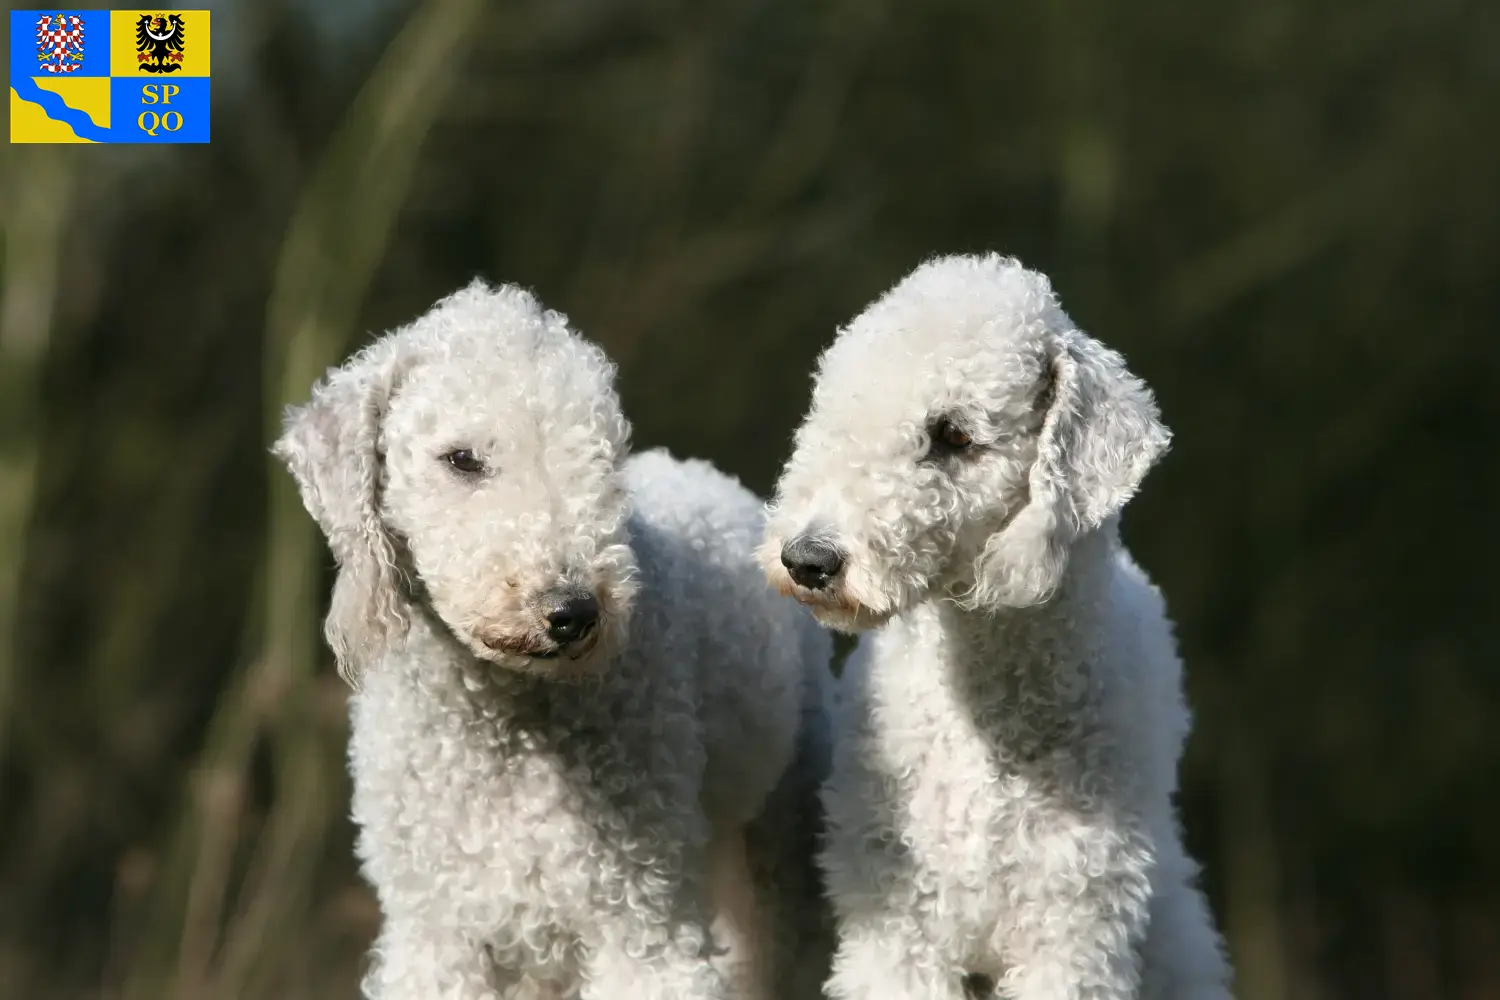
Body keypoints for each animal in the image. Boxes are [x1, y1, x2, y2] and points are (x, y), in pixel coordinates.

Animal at [271, 280, 834, 1000]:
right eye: (461, 458)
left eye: (604, 459)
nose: (573, 612)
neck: (506, 719)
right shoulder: (438, 934)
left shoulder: (642, 926)